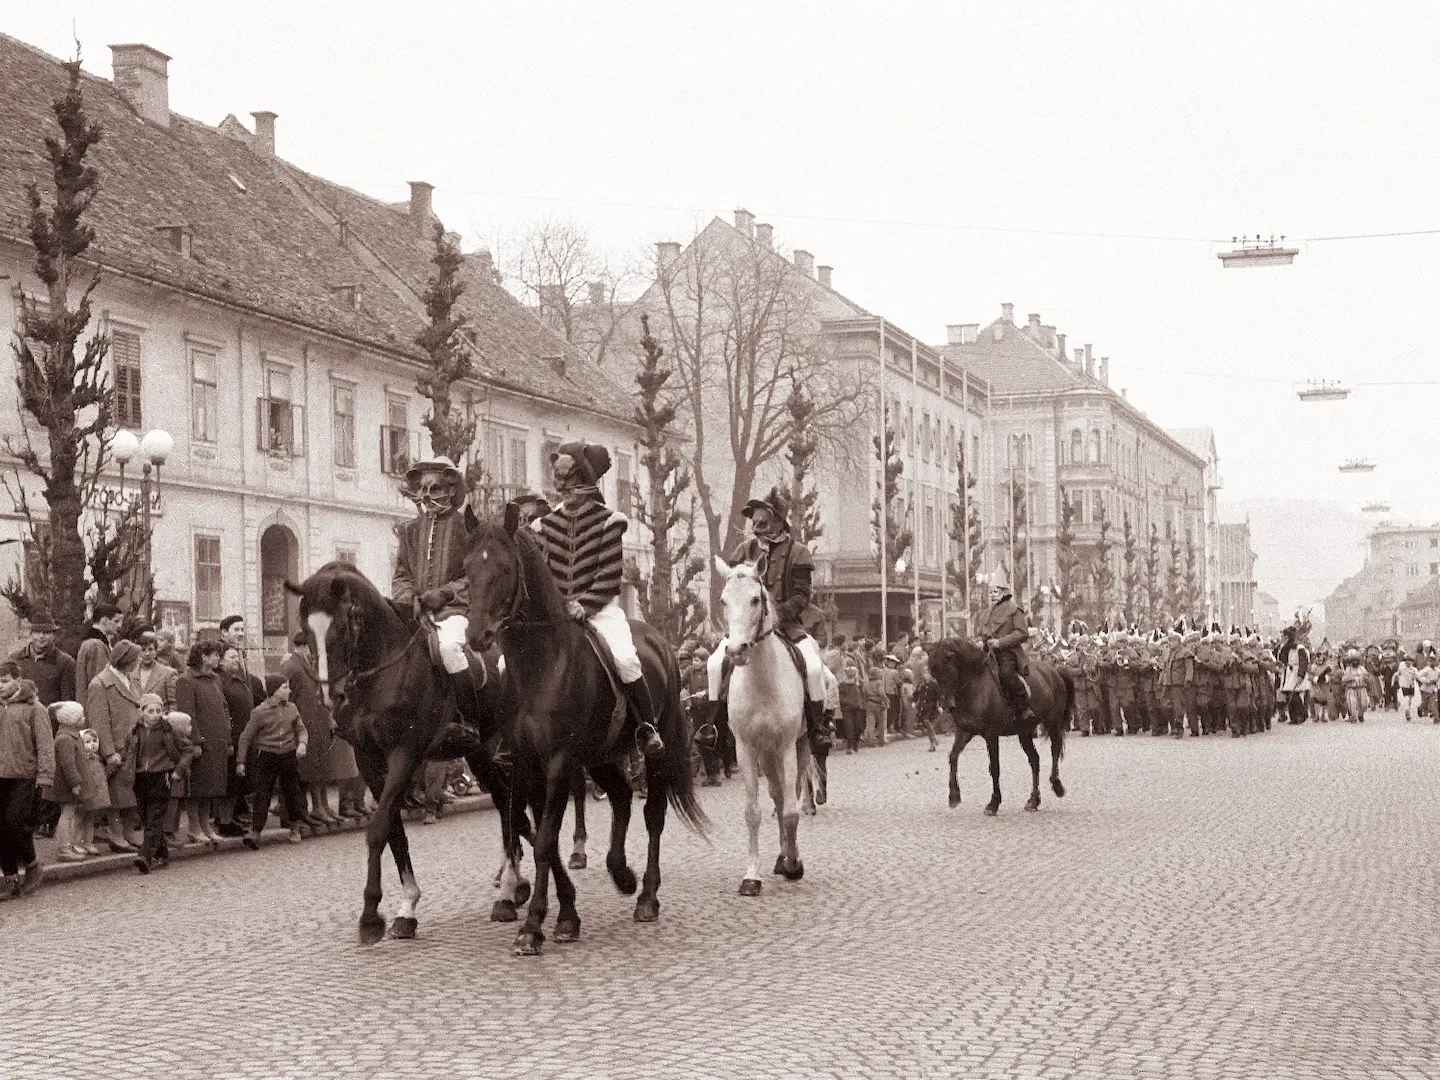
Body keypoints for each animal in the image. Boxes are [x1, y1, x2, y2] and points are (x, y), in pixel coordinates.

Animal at [285, 561, 529, 944]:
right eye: (305, 631)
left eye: (341, 627)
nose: (331, 696)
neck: (383, 673)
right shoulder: (369, 761)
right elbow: (394, 832)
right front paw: (406, 907)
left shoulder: (405, 754)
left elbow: (379, 828)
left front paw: (371, 915)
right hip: (480, 754)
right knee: (506, 802)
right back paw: (512, 887)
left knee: (513, 802)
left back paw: (508, 887)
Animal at [463, 506, 705, 956]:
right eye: (467, 567)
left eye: (504, 568)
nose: (476, 635)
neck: (539, 667)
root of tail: (662, 643)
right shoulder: (527, 764)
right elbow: (543, 836)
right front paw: (566, 916)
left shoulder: (559, 763)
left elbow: (543, 840)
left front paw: (534, 927)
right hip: (601, 757)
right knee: (623, 797)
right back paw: (620, 872)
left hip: (654, 751)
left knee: (653, 814)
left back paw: (646, 896)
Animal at [714, 558, 817, 898]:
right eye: (723, 601)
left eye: (756, 599)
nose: (736, 649)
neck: (762, 682)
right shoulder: (746, 749)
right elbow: (753, 812)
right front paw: (751, 877)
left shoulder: (785, 746)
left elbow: (791, 812)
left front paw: (795, 865)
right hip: (766, 756)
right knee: (777, 795)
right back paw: (780, 858)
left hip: (797, 749)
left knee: (790, 796)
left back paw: (788, 859)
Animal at [921, 642, 1071, 812]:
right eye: (934, 673)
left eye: (948, 669)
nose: (948, 706)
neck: (975, 685)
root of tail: (1054, 670)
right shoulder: (964, 731)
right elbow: (953, 757)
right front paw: (954, 796)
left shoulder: (991, 734)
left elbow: (994, 767)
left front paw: (993, 803)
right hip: (1024, 732)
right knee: (1034, 760)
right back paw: (1033, 800)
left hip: (1053, 723)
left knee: (1055, 751)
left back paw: (1057, 786)